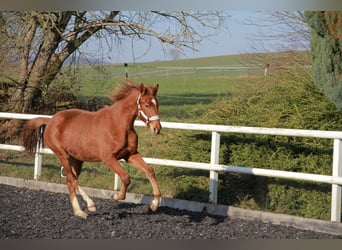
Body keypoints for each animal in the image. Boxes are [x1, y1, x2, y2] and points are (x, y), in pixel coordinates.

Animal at [22, 80, 162, 219]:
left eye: (157, 104)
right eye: (146, 105)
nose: (157, 128)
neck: (119, 125)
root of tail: (50, 120)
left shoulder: (130, 155)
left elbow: (149, 171)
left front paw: (154, 204)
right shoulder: (108, 158)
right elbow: (125, 177)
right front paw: (116, 196)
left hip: (76, 159)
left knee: (70, 181)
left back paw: (79, 211)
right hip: (63, 155)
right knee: (72, 180)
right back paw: (88, 206)